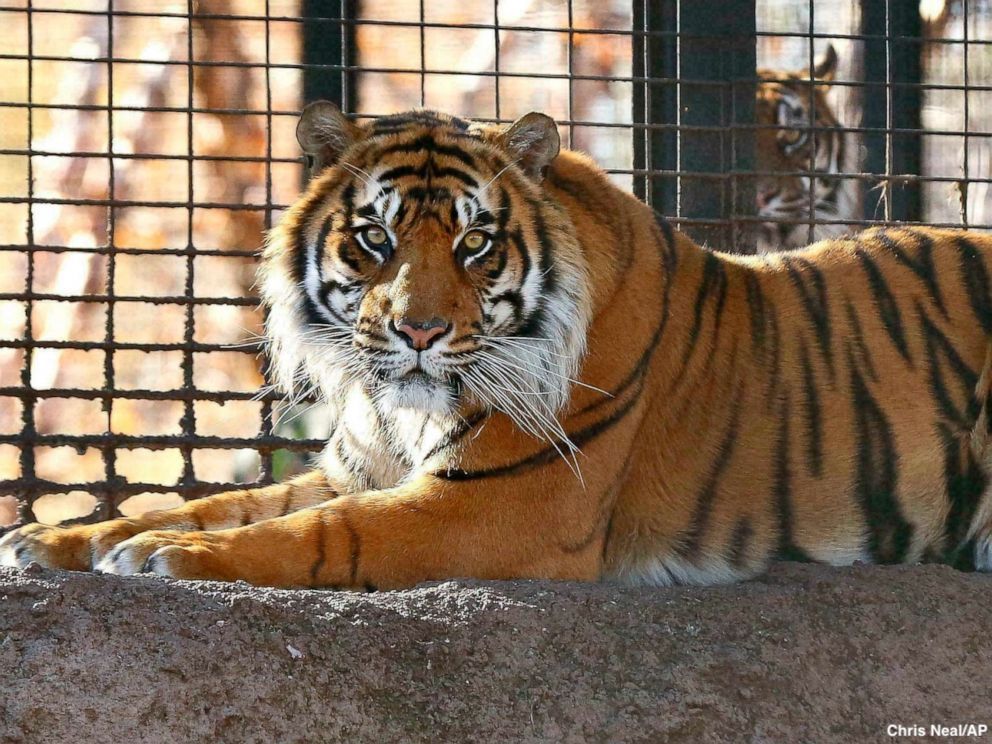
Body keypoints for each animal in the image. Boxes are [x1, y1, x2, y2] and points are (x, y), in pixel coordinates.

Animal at [3, 102, 992, 590]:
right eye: (377, 238)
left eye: (476, 243)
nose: (418, 331)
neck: (394, 408)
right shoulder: (354, 468)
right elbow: (216, 503)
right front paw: (61, 539)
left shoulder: (498, 504)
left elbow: (313, 535)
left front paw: (170, 559)